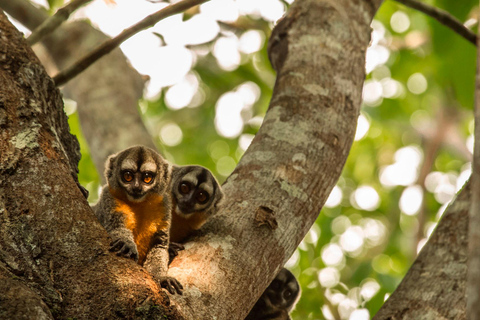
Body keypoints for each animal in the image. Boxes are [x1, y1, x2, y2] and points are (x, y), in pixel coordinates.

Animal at [93, 146, 183, 294]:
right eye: (128, 176)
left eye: (147, 178)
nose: (136, 187)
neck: (139, 204)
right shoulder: (109, 197)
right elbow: (116, 226)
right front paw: (126, 243)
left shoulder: (164, 205)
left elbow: (159, 244)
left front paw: (162, 278)